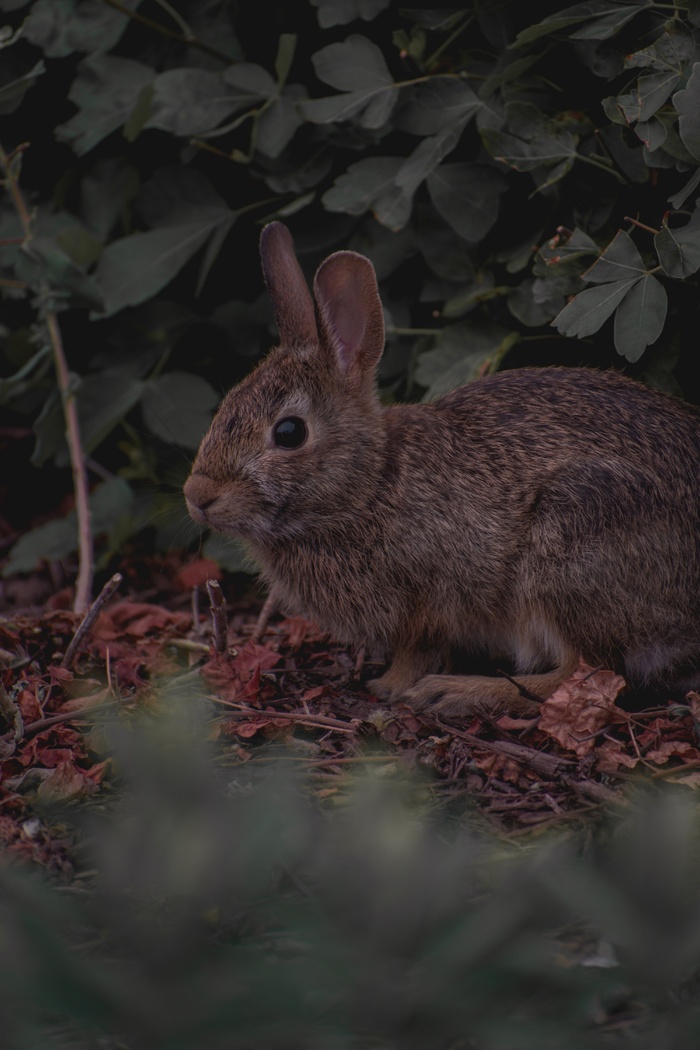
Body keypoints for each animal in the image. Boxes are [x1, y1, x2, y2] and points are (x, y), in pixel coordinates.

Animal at [182, 220, 700, 713]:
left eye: (289, 432)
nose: (197, 496)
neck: (368, 486)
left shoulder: (431, 600)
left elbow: (418, 650)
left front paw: (390, 686)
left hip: (571, 548)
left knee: (587, 674)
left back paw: (457, 693)